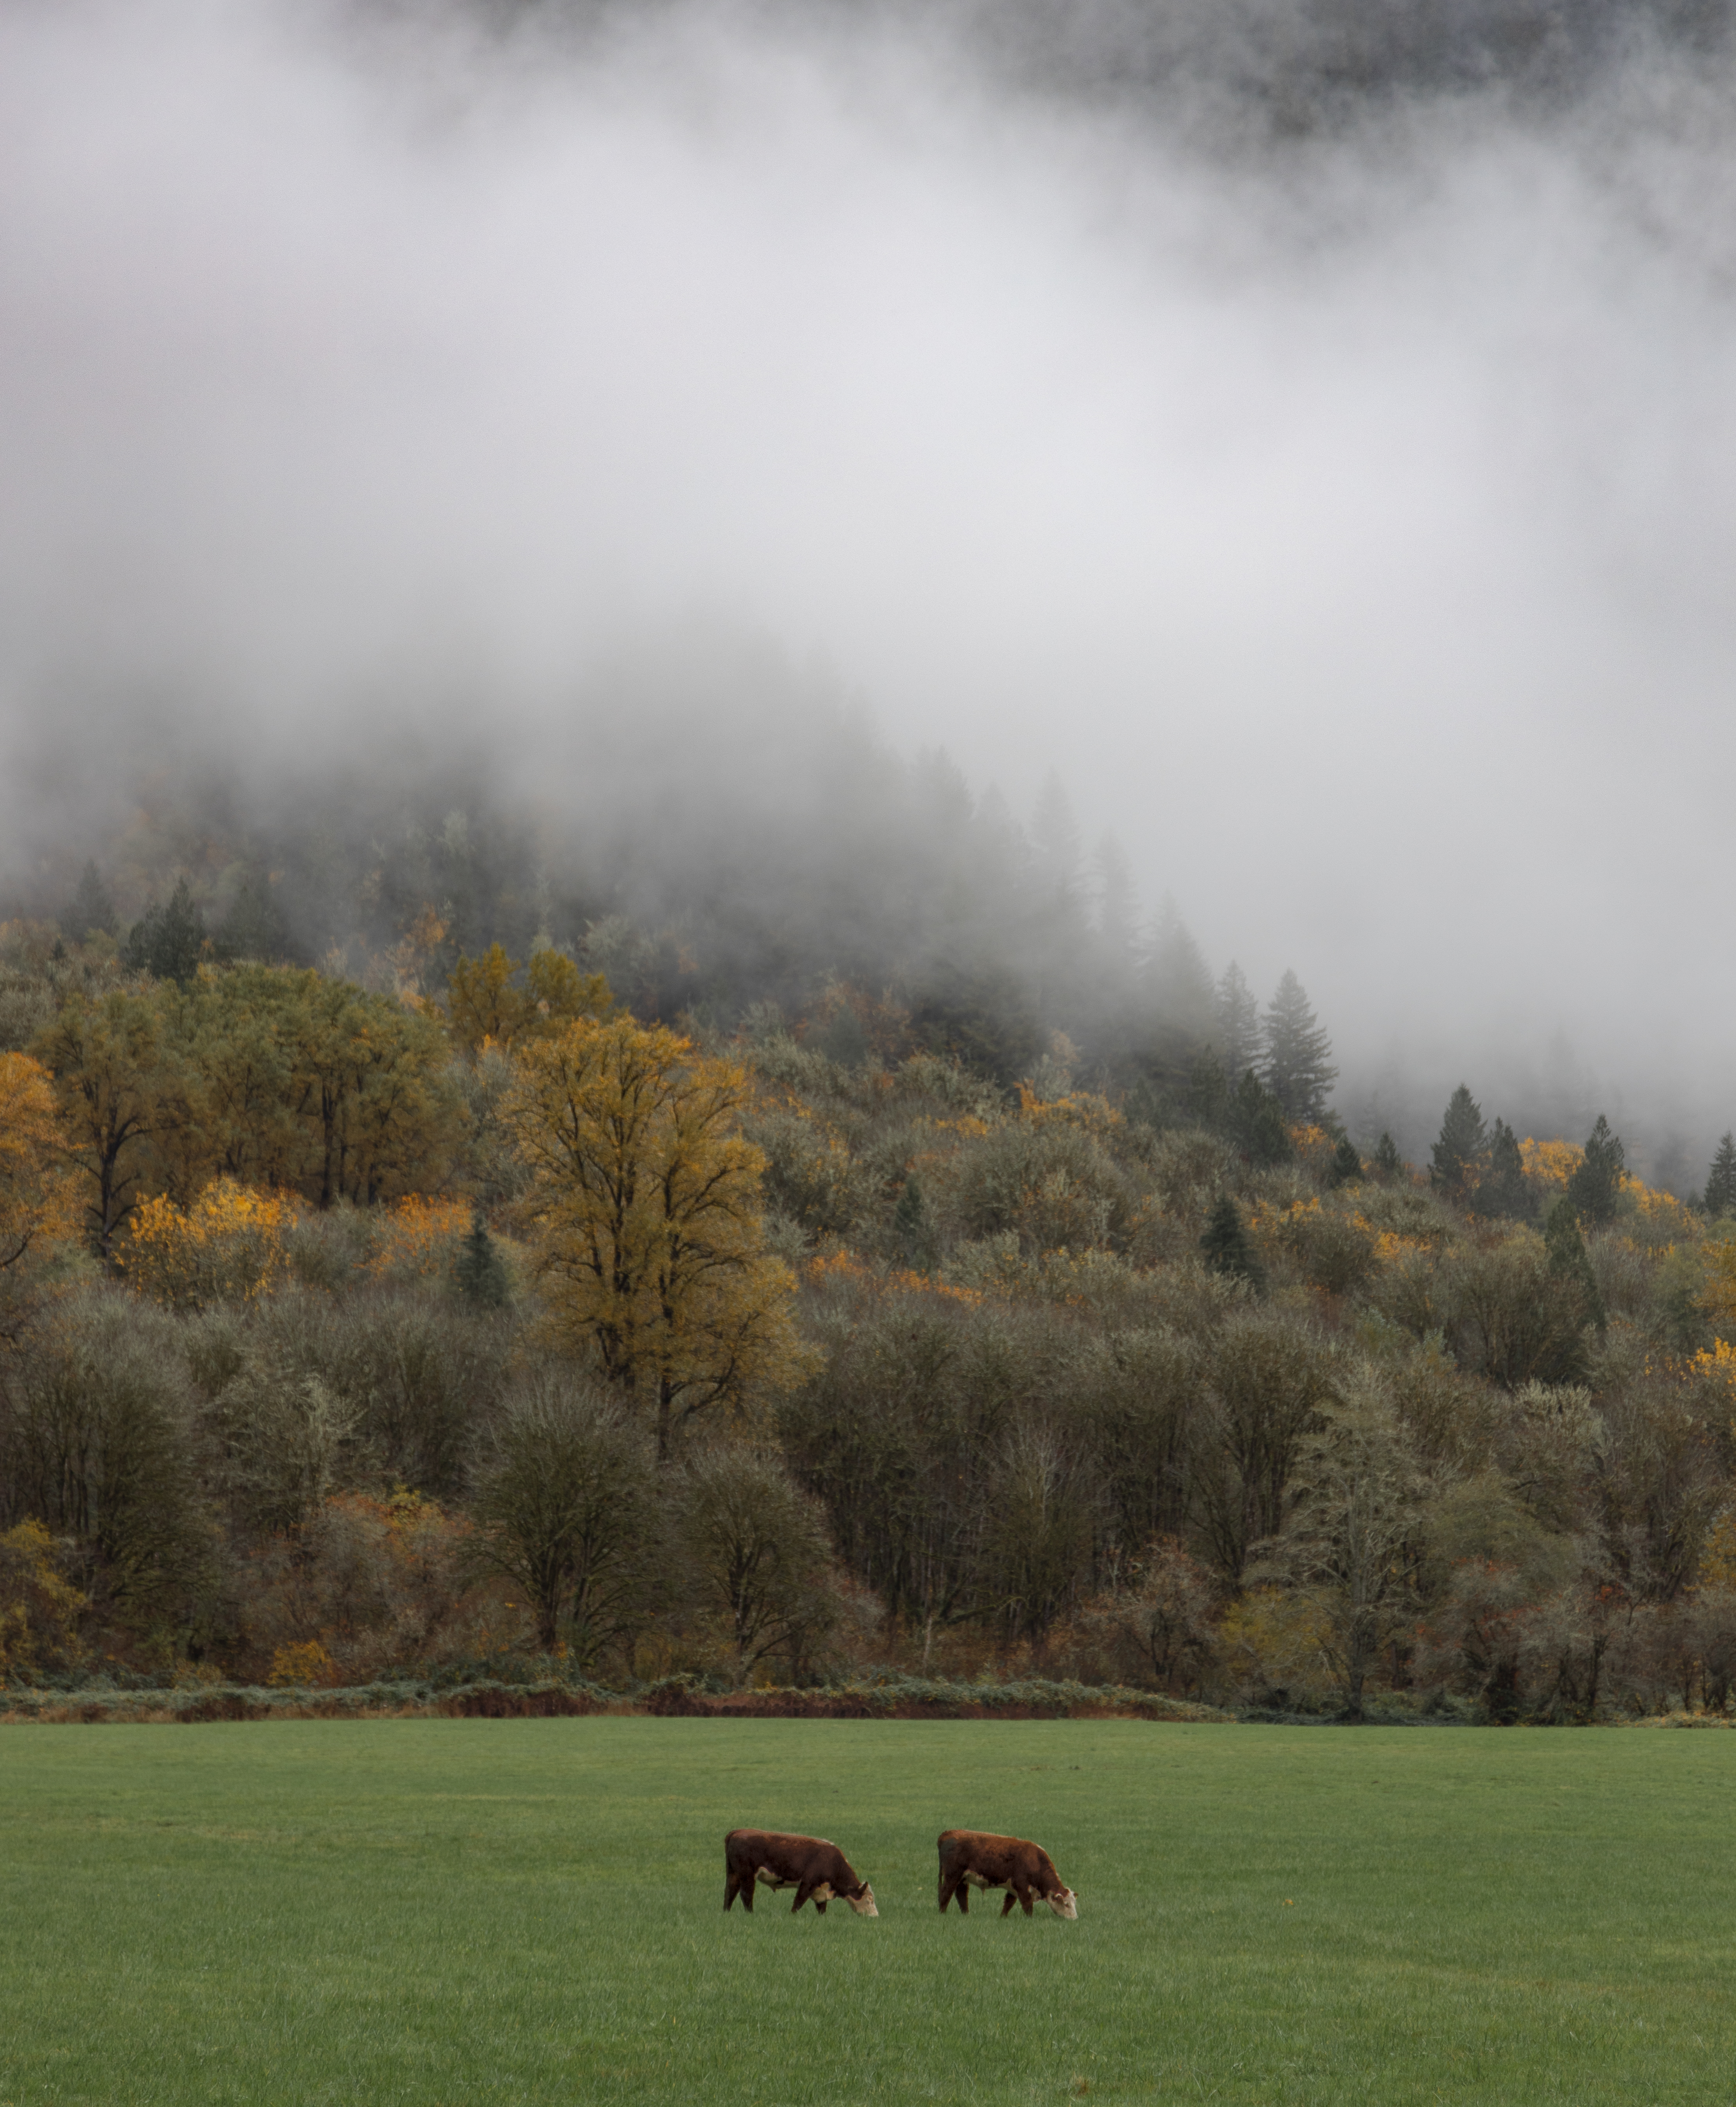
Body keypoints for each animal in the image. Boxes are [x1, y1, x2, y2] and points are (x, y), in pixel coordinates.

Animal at [723, 1829, 879, 1916]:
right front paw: (792, 1916)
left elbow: (822, 1908)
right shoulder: (808, 1883)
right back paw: (751, 1914)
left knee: (730, 1892)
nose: (875, 1916)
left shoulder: (821, 1890)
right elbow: (799, 1901)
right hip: (747, 1875)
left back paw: (726, 1912)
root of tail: (737, 1832)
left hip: (733, 1874)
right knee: (746, 1895)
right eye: (870, 1899)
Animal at [937, 1829, 1078, 1919]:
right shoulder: (1022, 1886)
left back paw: (966, 1914)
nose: (1075, 1919)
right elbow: (1028, 1905)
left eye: (1074, 1904)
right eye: (1066, 1904)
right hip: (952, 1876)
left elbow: (1008, 1904)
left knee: (961, 1895)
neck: (1036, 1860)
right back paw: (943, 1913)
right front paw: (1030, 1919)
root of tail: (947, 1833)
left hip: (963, 1879)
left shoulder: (1013, 1889)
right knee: (946, 1893)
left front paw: (1002, 1917)